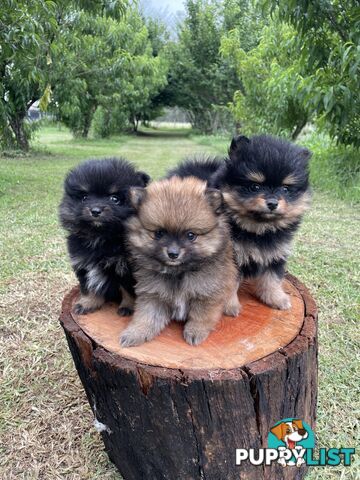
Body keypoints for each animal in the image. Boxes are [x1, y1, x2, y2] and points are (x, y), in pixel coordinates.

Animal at [59, 158, 150, 316]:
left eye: (114, 199)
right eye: (85, 197)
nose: (95, 210)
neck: (102, 237)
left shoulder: (127, 269)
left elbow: (128, 290)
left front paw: (128, 307)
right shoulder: (84, 264)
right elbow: (88, 287)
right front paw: (87, 303)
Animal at [119, 175, 240, 344]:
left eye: (190, 235)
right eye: (159, 233)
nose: (173, 253)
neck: (178, 272)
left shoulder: (207, 293)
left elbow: (201, 316)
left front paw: (195, 332)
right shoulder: (153, 294)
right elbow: (146, 316)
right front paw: (135, 333)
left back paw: (231, 306)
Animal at [212, 133, 310, 310]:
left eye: (285, 189)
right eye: (255, 187)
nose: (272, 203)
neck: (260, 230)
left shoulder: (276, 253)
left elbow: (273, 278)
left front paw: (276, 298)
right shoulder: (232, 258)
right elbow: (229, 283)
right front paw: (229, 306)